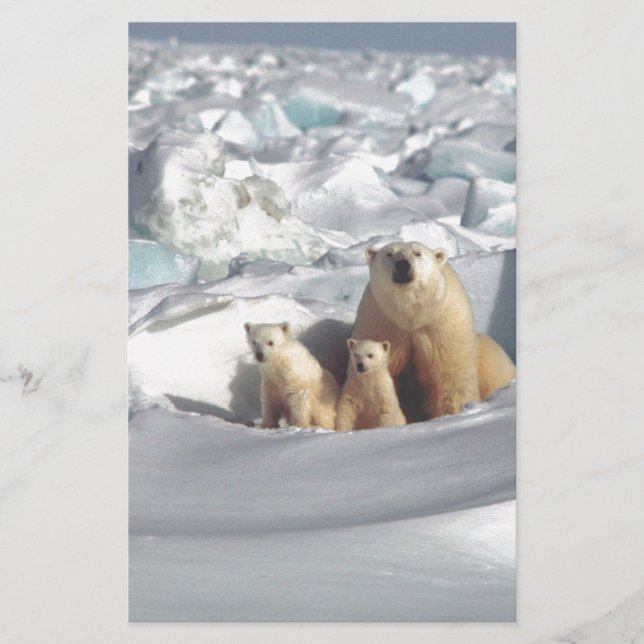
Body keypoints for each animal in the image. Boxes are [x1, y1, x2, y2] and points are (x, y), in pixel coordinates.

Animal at [352, 241, 516, 419]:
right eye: (389, 253)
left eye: (417, 253)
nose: (402, 265)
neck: (411, 316)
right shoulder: (382, 323)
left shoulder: (442, 325)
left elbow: (450, 374)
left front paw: (454, 412)